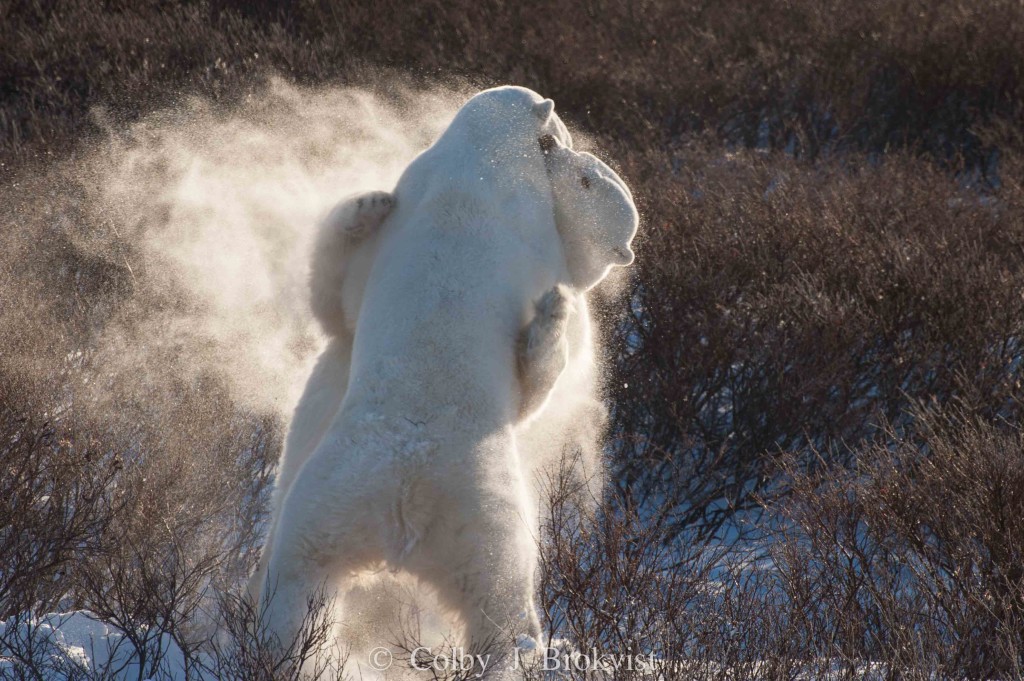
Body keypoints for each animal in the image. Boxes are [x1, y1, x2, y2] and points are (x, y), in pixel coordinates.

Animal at [256, 86, 637, 671]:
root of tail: (404, 507)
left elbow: (337, 305)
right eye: (559, 142)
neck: (479, 163)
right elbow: (335, 305)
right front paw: (368, 203)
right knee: (306, 580)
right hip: (365, 497)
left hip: (422, 502)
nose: (572, 154)